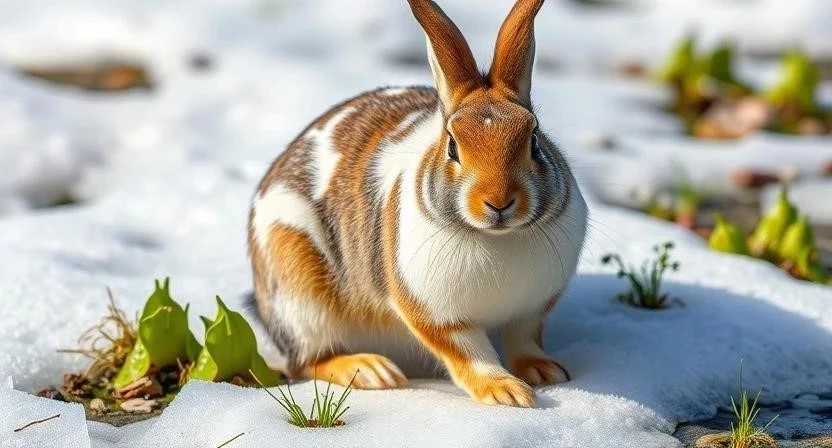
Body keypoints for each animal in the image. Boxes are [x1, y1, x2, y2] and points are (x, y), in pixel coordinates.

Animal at [248, 0, 587, 408]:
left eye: (534, 140)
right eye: (452, 146)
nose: (499, 201)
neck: (496, 237)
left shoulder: (532, 309)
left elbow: (523, 340)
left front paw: (545, 372)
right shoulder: (432, 311)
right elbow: (469, 352)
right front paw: (506, 392)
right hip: (299, 290)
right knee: (308, 360)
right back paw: (371, 371)